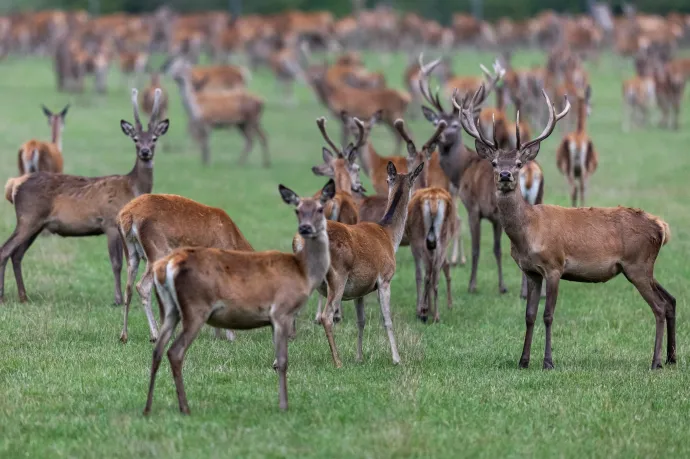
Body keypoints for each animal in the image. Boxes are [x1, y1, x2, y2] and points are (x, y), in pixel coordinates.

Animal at [1, 89, 168, 306]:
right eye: (136, 139)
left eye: (155, 138)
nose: (145, 152)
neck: (132, 188)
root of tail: (14, 185)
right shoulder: (110, 222)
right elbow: (116, 263)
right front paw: (117, 299)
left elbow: (131, 263)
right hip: (28, 217)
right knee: (5, 250)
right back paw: (3, 295)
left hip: (36, 224)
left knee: (17, 254)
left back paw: (23, 296)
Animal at [117, 192, 254, 344]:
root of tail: (127, 215)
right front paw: (230, 337)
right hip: (157, 253)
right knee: (142, 286)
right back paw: (155, 335)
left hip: (131, 254)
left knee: (128, 288)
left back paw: (124, 335)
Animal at [142, 179, 334, 414]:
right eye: (297, 210)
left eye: (320, 208)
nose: (305, 228)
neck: (303, 272)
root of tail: (168, 265)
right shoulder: (282, 311)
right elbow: (283, 360)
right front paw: (283, 405)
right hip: (196, 308)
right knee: (175, 352)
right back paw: (185, 407)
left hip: (171, 309)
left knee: (157, 350)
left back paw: (148, 407)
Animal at [414, 54, 506, 292]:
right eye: (437, 122)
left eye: (456, 125)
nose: (439, 137)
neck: (462, 168)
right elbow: (497, 249)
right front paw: (501, 286)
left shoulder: (473, 206)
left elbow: (478, 248)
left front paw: (472, 284)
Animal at [456, 86, 672, 372]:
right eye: (494, 163)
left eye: (518, 164)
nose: (505, 175)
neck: (528, 233)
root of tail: (661, 227)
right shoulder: (531, 271)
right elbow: (529, 315)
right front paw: (523, 360)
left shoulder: (554, 266)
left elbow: (548, 315)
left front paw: (548, 361)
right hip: (643, 267)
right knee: (667, 301)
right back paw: (668, 358)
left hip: (637, 264)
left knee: (658, 307)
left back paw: (656, 361)